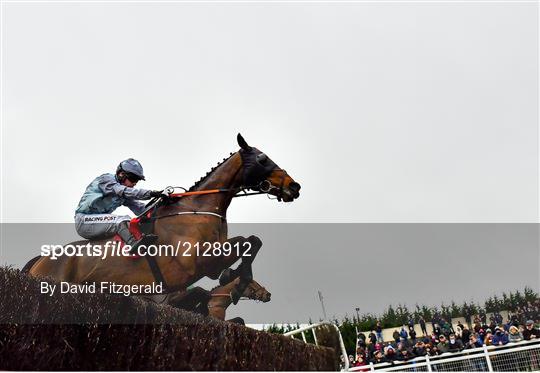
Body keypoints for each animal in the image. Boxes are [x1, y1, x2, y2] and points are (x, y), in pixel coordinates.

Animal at [25, 134, 302, 302]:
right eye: (263, 158)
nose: (294, 186)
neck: (197, 209)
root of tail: (40, 260)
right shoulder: (201, 262)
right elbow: (249, 241)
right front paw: (236, 279)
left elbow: (253, 240)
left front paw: (234, 277)